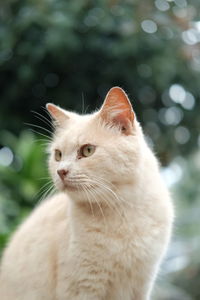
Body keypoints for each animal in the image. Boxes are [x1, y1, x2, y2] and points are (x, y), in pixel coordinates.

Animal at [0, 87, 173, 300]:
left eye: (88, 150)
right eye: (58, 155)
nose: (61, 171)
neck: (122, 211)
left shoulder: (140, 286)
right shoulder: (82, 287)